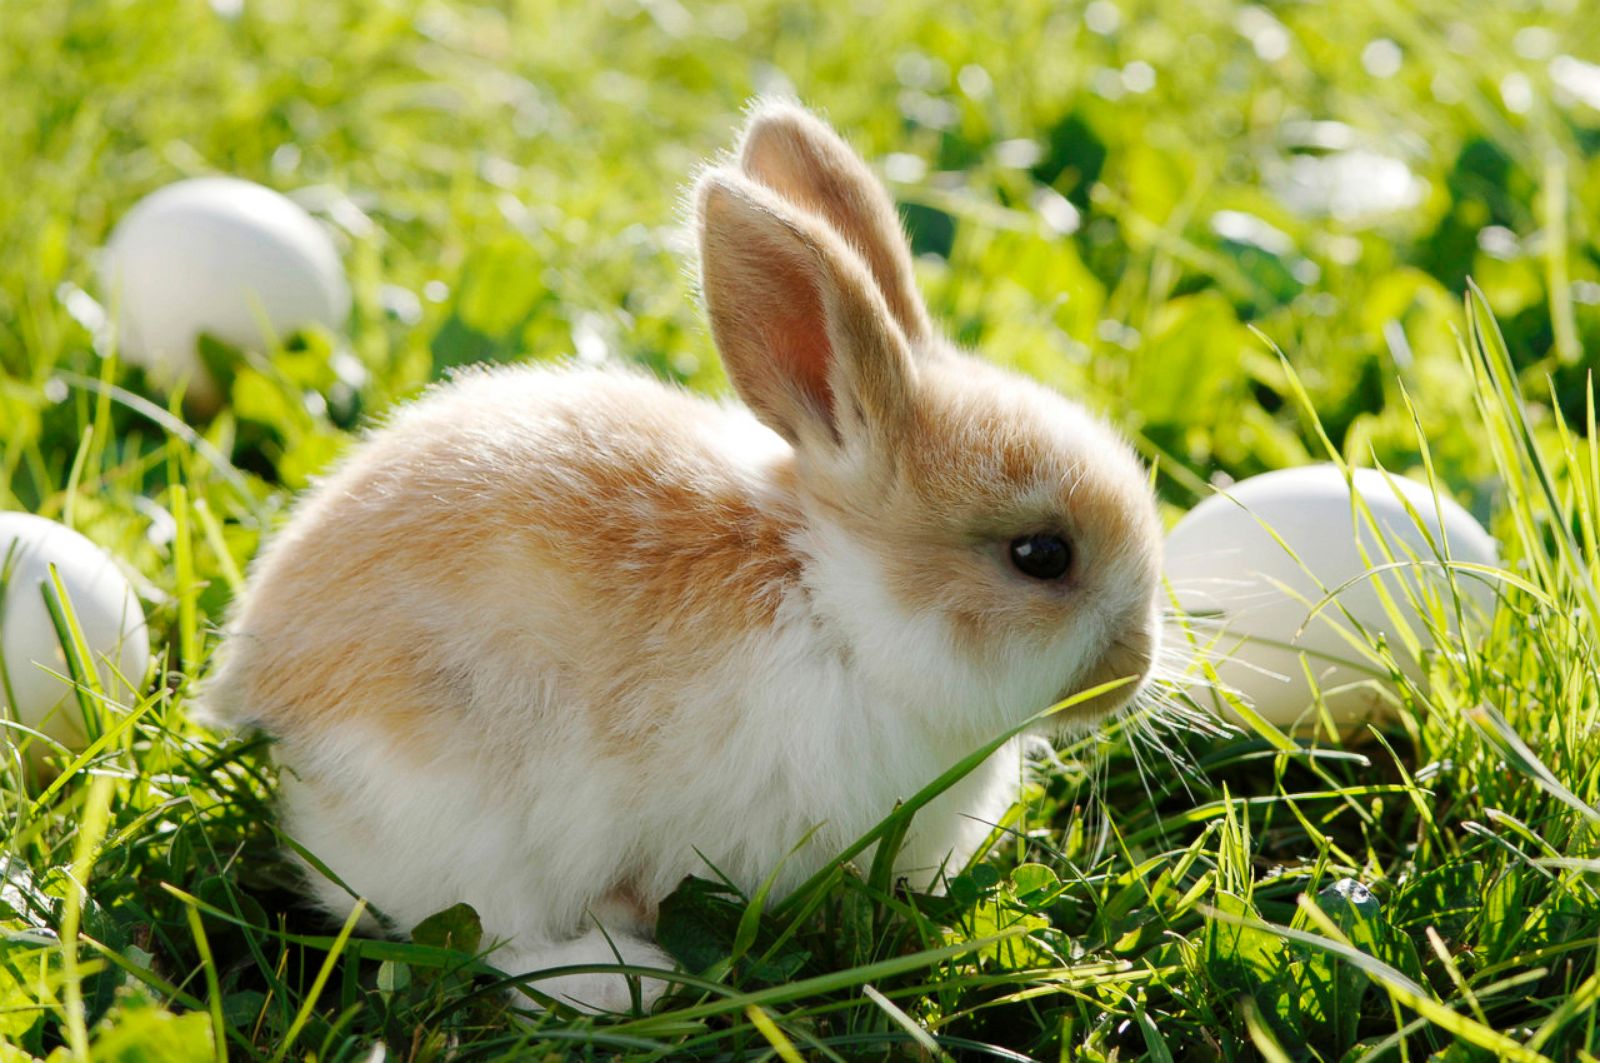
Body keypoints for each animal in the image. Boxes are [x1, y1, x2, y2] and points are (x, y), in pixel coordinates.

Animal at [209, 101, 1164, 1011]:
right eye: (1040, 554)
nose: (1133, 667)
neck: (834, 604)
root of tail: (259, 686)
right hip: (467, 815)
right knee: (487, 938)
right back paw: (620, 978)